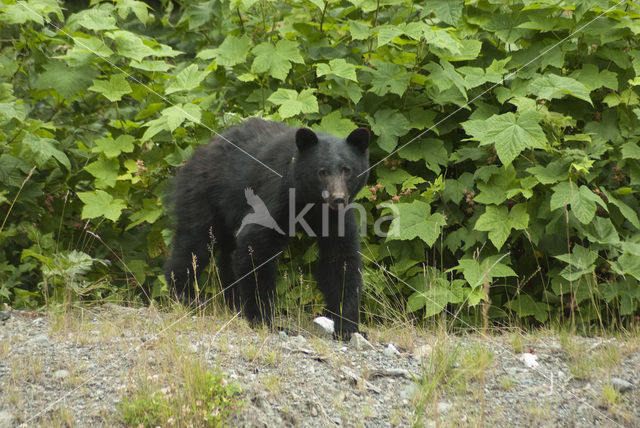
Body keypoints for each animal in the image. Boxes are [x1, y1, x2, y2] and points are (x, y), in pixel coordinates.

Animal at [165, 117, 370, 338]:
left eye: (347, 170)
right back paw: (185, 296)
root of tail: (199, 152)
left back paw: (233, 304)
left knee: (226, 255)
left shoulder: (336, 217)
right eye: (322, 172)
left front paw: (348, 327)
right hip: (203, 195)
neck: (311, 202)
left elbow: (341, 260)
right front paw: (266, 321)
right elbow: (256, 247)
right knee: (196, 242)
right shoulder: (275, 196)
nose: (337, 198)